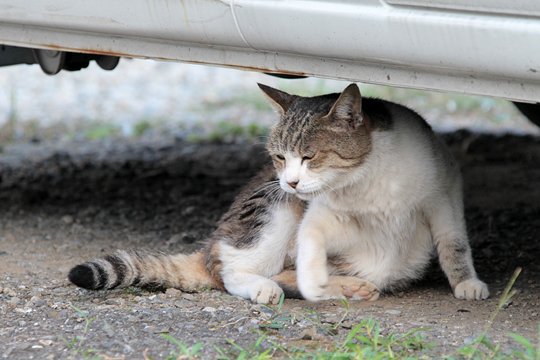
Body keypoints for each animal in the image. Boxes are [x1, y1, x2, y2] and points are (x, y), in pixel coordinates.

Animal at [67, 83, 490, 304]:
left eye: (310, 156)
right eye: (278, 157)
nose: (290, 181)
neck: (367, 179)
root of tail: (209, 244)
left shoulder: (444, 197)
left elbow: (454, 245)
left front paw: (466, 283)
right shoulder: (319, 212)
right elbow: (310, 245)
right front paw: (312, 278)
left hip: (389, 260)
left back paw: (345, 286)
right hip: (275, 212)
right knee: (234, 270)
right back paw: (268, 287)